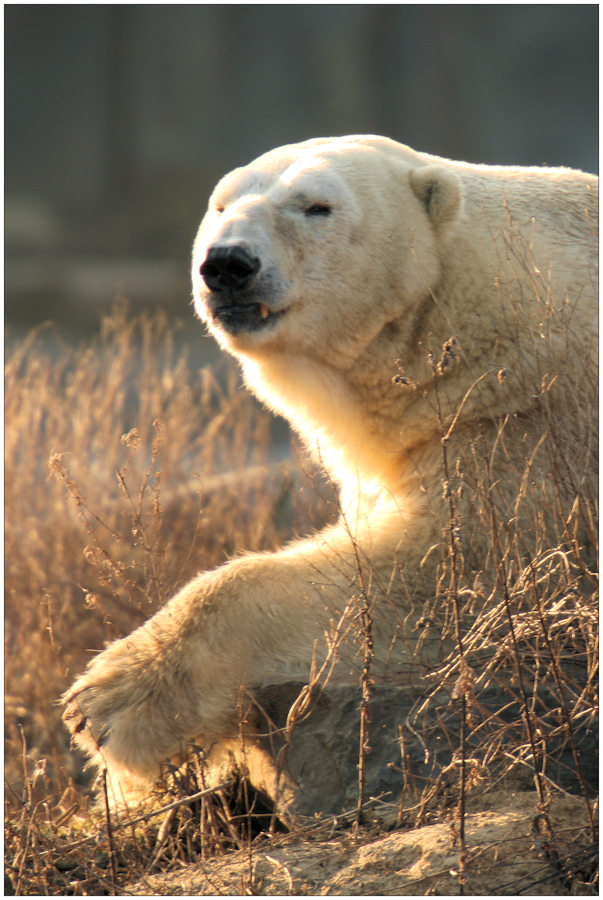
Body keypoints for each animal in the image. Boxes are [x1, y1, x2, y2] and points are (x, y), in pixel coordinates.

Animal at [63, 137, 596, 800]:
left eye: (316, 206)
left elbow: (451, 566)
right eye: (221, 205)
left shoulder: (525, 426)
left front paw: (108, 703)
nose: (228, 264)